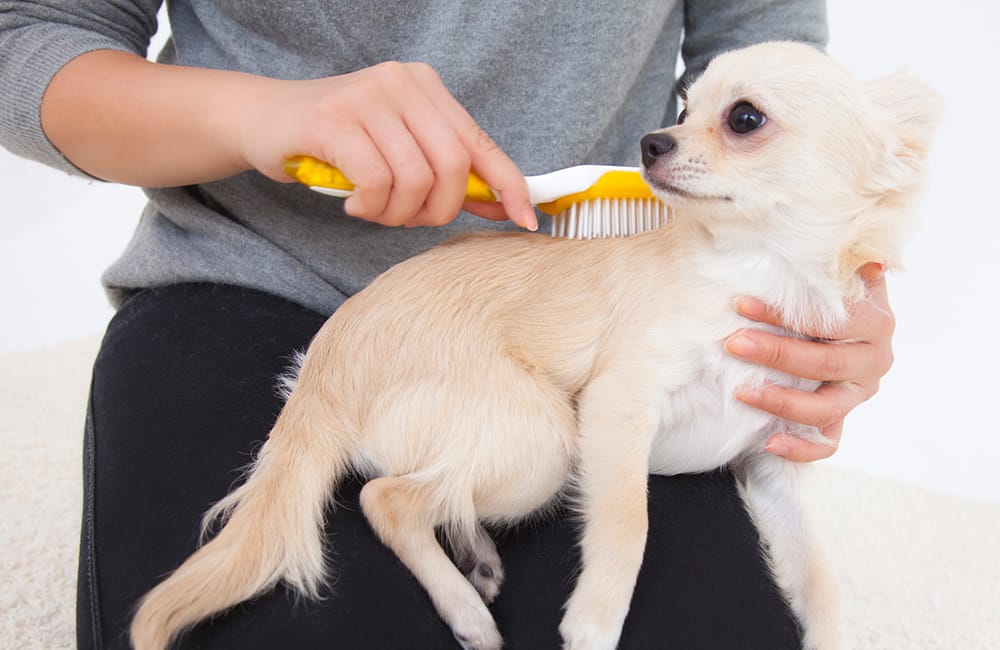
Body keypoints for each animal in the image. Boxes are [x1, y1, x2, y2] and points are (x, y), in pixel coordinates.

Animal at [129, 41, 940, 648]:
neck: (760, 272)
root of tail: (327, 362)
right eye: (683, 109)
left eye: (744, 118)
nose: (651, 142)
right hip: (543, 439)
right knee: (386, 497)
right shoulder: (618, 410)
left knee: (427, 493)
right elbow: (629, 525)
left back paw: (475, 557)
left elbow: (820, 578)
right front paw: (596, 623)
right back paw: (466, 612)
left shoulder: (775, 464)